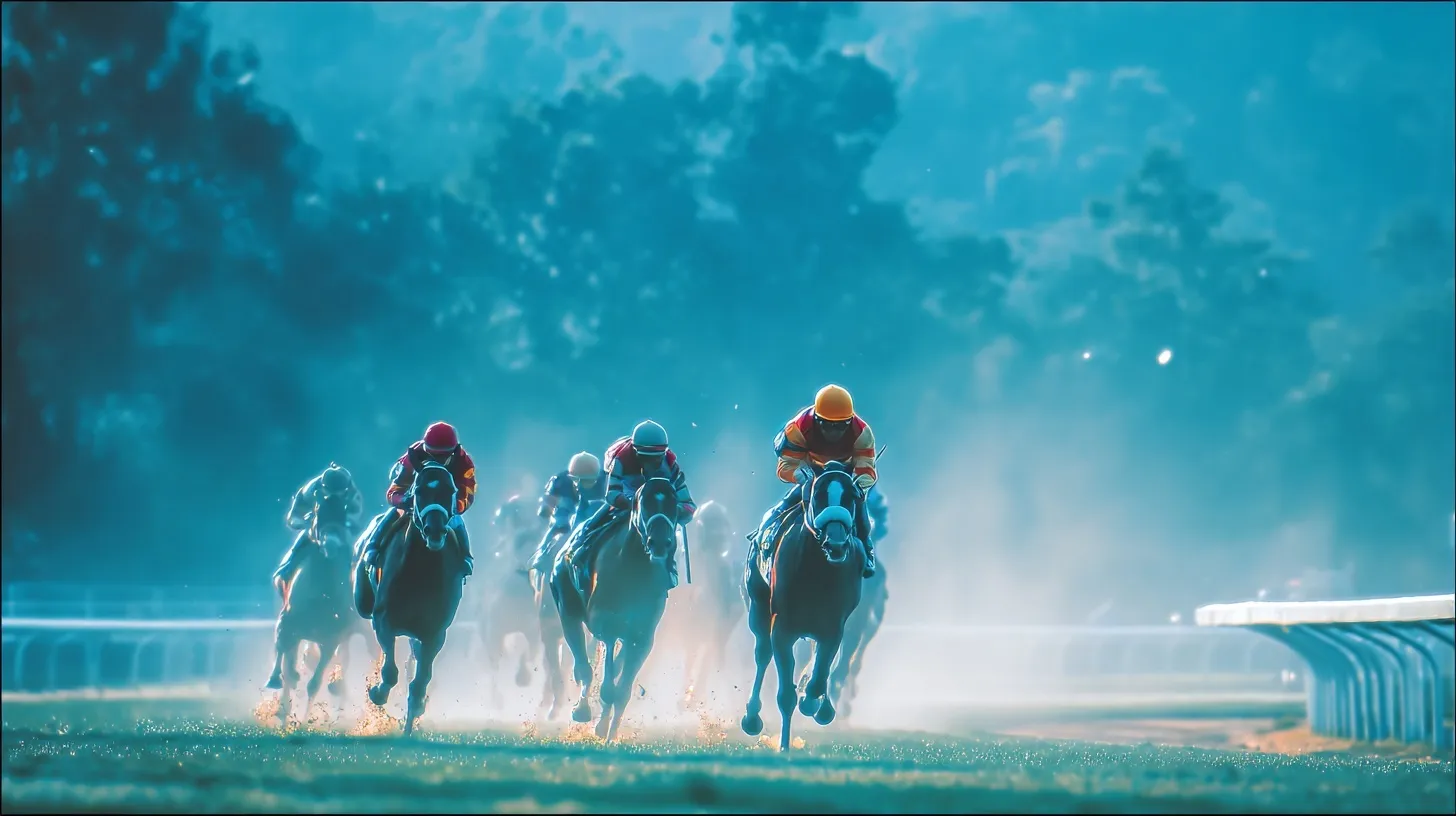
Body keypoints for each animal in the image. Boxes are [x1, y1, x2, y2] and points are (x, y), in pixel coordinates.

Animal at [265, 512, 357, 726]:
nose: (331, 544)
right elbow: (284, 659)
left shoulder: (331, 641)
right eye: (319, 516)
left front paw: (305, 720)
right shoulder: (288, 624)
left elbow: (314, 683)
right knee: (288, 664)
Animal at [352, 459, 469, 735]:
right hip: (363, 601)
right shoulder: (383, 619)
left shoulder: (435, 632)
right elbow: (390, 671)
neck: (421, 568)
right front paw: (377, 693)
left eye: (450, 490)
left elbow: (420, 680)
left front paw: (413, 717)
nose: (435, 531)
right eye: (419, 490)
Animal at [549, 477, 681, 742]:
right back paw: (581, 709)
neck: (633, 568)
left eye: (673, 504)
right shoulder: (607, 626)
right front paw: (600, 724)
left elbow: (622, 690)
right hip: (567, 609)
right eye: (643, 502)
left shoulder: (642, 637)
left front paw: (610, 732)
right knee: (583, 666)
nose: (660, 543)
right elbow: (608, 685)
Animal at [741, 461, 866, 751]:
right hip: (757, 608)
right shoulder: (782, 629)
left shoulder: (833, 627)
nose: (836, 543)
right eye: (818, 495)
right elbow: (786, 694)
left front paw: (813, 702)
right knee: (762, 654)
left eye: (852, 497)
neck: (818, 570)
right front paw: (784, 746)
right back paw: (752, 717)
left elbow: (820, 677)